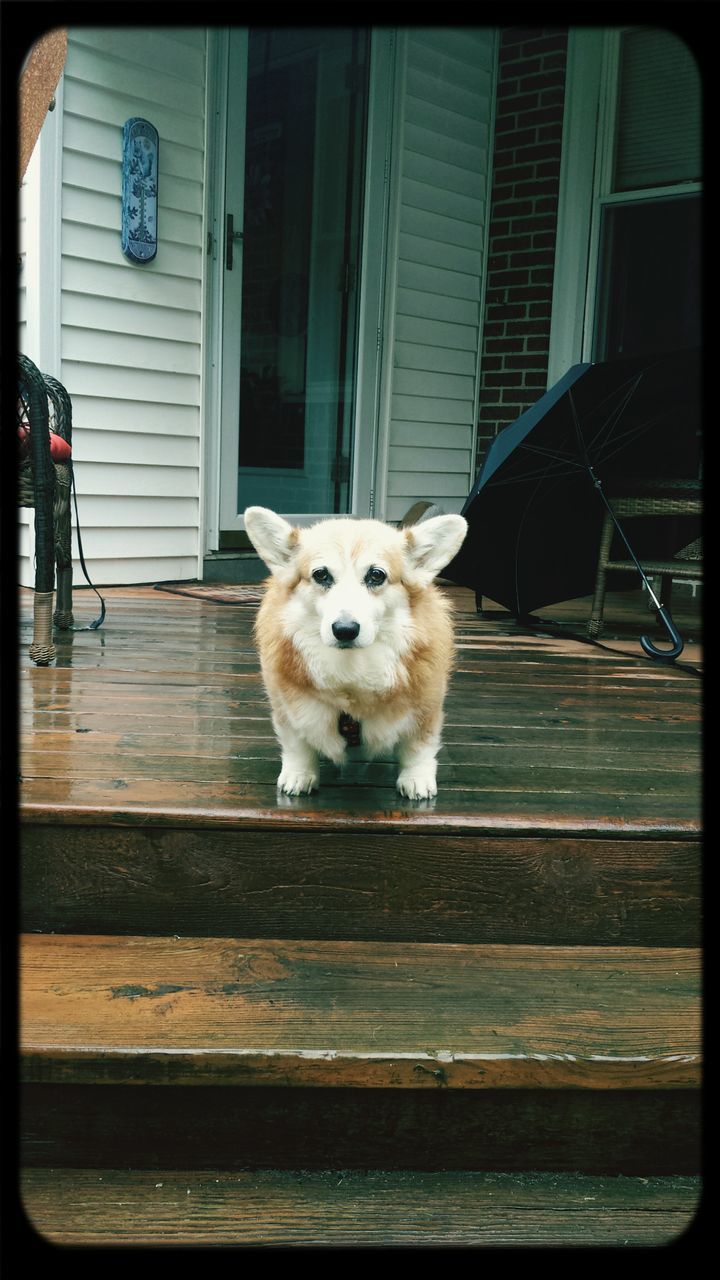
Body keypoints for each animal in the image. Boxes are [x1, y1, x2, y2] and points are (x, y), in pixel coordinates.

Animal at [242, 501, 466, 793]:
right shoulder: (288, 709)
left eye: (376, 575)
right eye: (321, 575)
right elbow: (297, 745)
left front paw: (416, 780)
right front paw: (299, 775)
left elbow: (419, 748)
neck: (351, 669)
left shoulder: (426, 708)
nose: (345, 630)